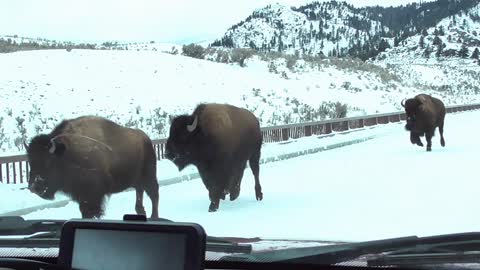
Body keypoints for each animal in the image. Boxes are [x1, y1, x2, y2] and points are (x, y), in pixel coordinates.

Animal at [24, 116, 159, 219]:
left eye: (48, 161)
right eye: (30, 162)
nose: (34, 187)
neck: (67, 152)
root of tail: (146, 139)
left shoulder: (94, 195)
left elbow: (92, 212)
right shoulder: (81, 196)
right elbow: (84, 211)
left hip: (149, 177)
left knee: (154, 195)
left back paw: (154, 217)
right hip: (137, 181)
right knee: (140, 192)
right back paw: (141, 212)